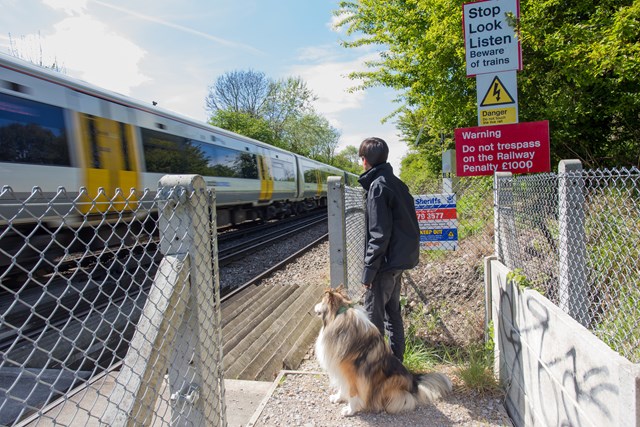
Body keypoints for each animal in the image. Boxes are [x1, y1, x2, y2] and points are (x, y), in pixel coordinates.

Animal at [314, 286, 452, 416]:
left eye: (321, 300)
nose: (314, 307)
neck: (339, 316)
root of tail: (414, 384)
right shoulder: (340, 370)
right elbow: (343, 387)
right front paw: (338, 398)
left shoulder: (353, 374)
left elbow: (353, 393)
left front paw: (350, 410)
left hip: (388, 382)